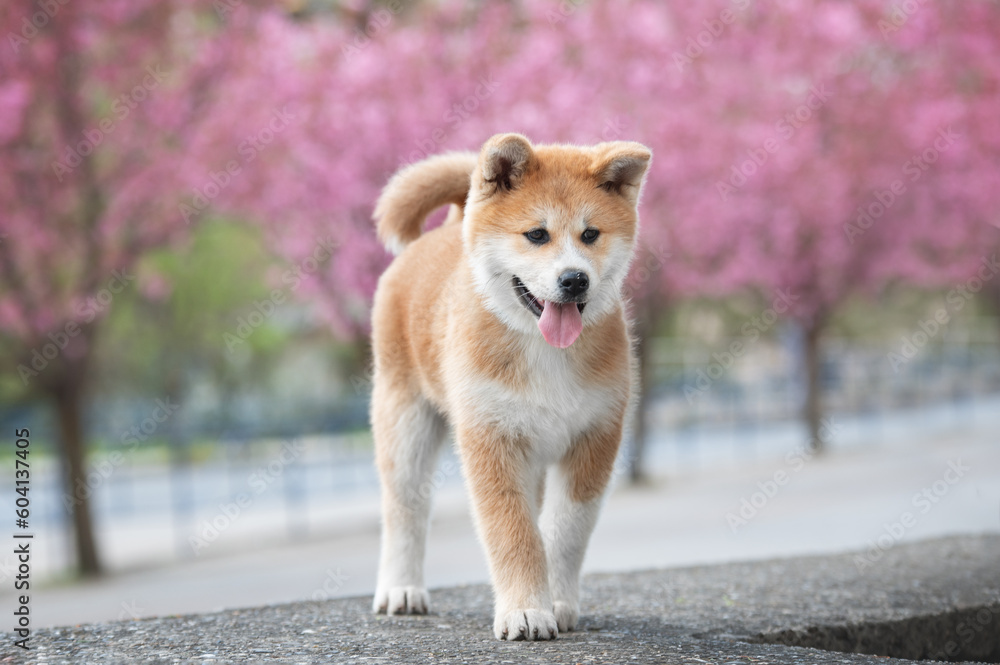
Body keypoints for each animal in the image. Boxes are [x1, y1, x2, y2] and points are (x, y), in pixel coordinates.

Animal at [372, 134, 652, 640]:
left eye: (591, 234)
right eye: (537, 234)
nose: (574, 279)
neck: (546, 351)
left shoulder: (596, 437)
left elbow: (564, 530)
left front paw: (555, 600)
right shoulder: (492, 439)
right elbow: (514, 532)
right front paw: (524, 610)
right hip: (405, 423)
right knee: (404, 508)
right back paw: (401, 589)